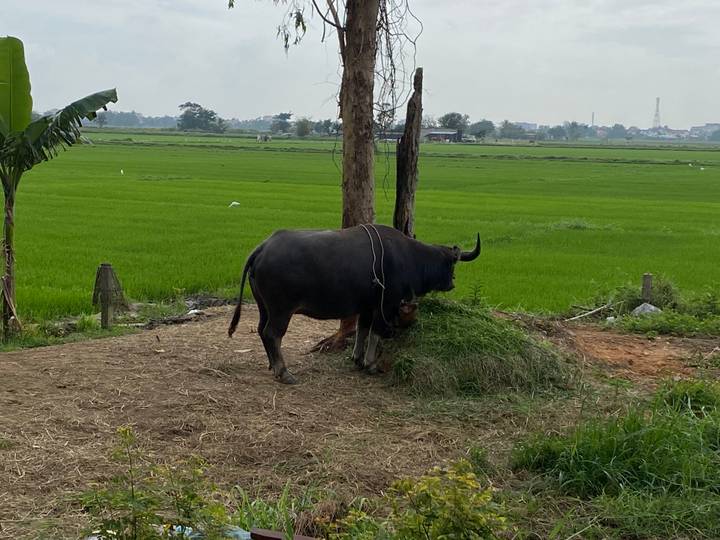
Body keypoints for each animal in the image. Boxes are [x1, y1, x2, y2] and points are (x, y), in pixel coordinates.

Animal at [228, 224, 481, 383]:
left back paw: (273, 366)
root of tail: (263, 247)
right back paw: (283, 372)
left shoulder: (366, 307)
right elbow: (376, 331)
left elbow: (362, 329)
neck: (407, 257)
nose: (452, 283)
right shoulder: (385, 304)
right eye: (452, 264)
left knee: (261, 330)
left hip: (264, 307)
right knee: (272, 333)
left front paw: (357, 359)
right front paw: (370, 364)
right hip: (281, 310)